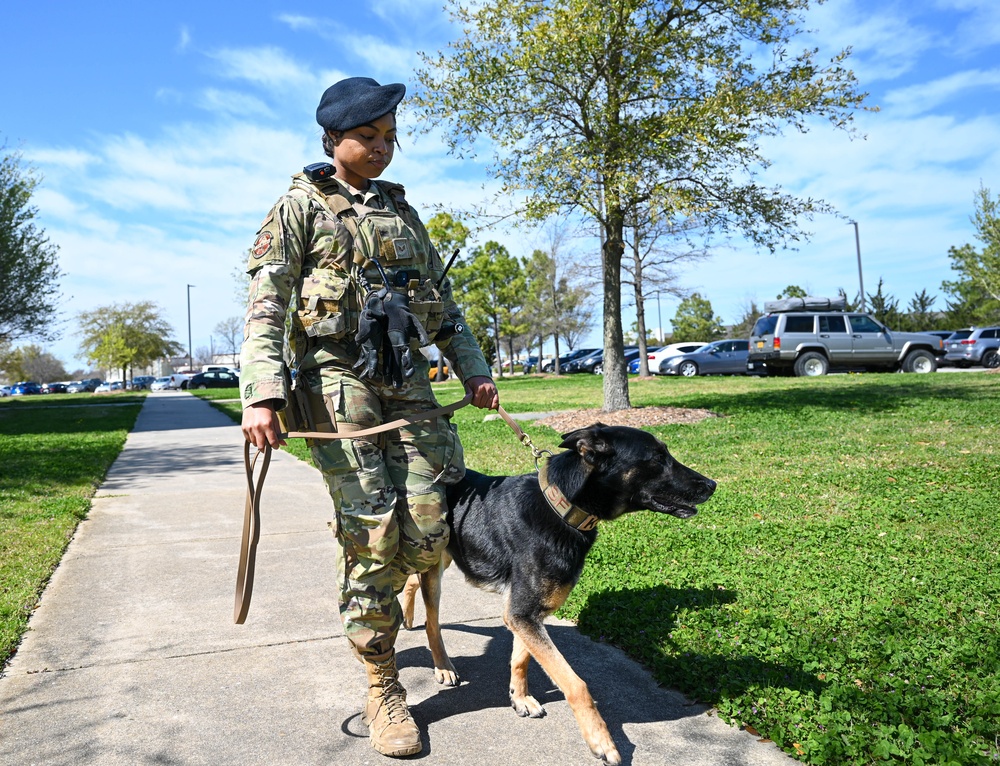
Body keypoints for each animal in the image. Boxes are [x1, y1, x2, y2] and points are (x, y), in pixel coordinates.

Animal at [400, 426, 720, 766]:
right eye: (658, 458)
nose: (712, 485)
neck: (561, 507)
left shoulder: (525, 614)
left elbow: (521, 658)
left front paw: (521, 698)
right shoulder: (523, 613)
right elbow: (575, 683)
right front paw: (601, 740)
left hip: (444, 557)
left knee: (412, 583)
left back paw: (408, 616)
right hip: (436, 565)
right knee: (432, 621)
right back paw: (443, 665)